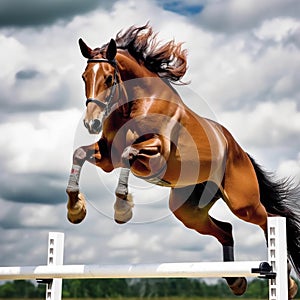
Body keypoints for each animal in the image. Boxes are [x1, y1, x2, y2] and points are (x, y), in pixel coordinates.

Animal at [66, 24, 300, 298]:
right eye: (84, 77)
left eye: (109, 78)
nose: (91, 123)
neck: (134, 103)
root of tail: (239, 151)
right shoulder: (106, 157)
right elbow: (79, 154)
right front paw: (76, 209)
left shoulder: (156, 153)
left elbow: (128, 154)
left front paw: (122, 209)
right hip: (188, 209)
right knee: (226, 230)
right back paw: (236, 281)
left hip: (244, 203)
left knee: (268, 219)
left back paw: (287, 280)